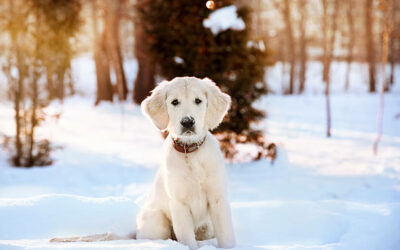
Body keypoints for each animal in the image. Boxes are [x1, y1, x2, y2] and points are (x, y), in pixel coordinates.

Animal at [138, 77, 234, 249]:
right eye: (175, 102)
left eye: (198, 101)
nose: (187, 122)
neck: (190, 152)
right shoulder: (179, 203)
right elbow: (187, 239)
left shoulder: (218, 198)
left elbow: (226, 235)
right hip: (156, 222)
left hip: (207, 227)